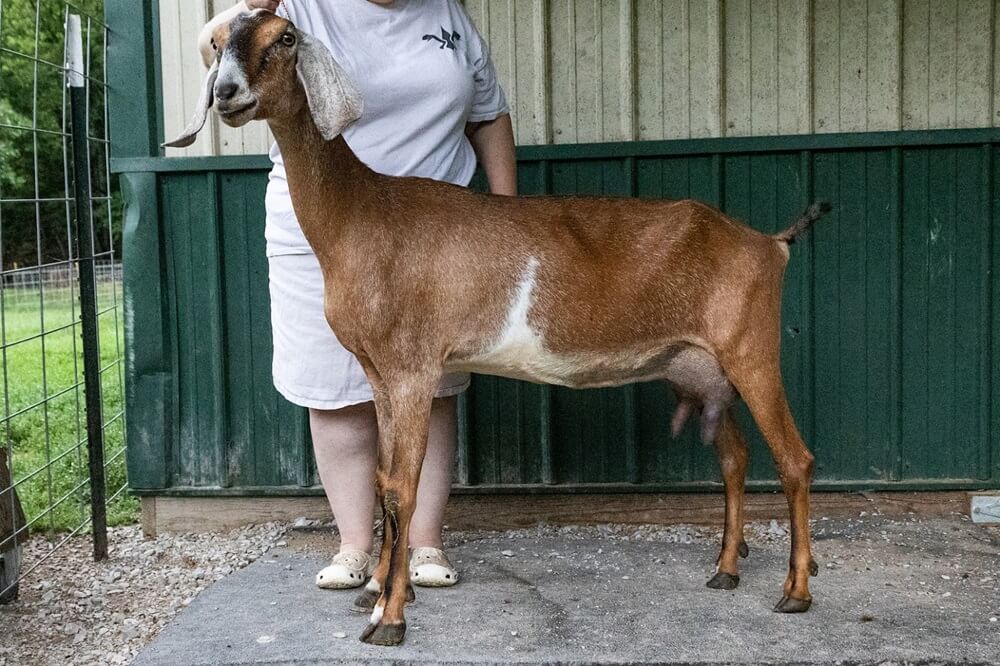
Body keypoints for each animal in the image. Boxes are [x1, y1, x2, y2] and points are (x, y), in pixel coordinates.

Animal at [168, 11, 828, 644]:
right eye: (219, 41)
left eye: (284, 38)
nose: (227, 93)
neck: (363, 215)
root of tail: (769, 244)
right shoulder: (380, 373)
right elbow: (381, 478)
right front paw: (376, 589)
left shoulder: (413, 368)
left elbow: (402, 486)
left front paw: (390, 619)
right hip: (698, 367)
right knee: (736, 457)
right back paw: (726, 570)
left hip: (752, 350)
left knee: (794, 458)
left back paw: (796, 591)